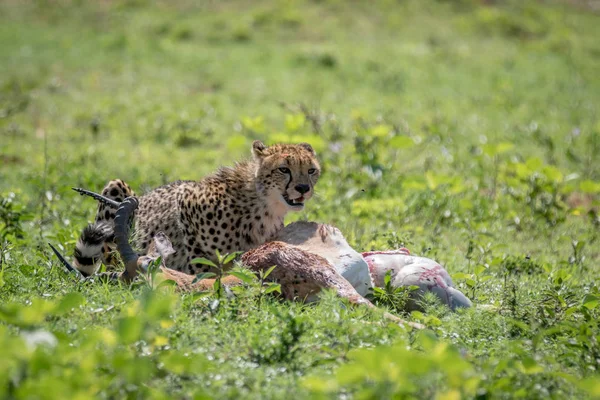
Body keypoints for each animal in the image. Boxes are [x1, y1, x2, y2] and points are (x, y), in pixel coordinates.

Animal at [71, 142, 318, 276]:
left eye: (311, 170)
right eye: (284, 169)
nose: (303, 188)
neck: (265, 204)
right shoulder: (185, 200)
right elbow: (202, 265)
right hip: (116, 188)